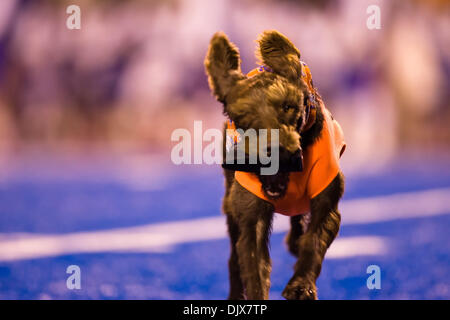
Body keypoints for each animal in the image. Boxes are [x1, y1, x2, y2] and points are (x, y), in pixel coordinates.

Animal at [206, 30, 346, 300]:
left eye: (288, 106)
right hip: (230, 205)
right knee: (233, 259)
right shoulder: (250, 218)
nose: (274, 149)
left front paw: (301, 285)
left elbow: (314, 240)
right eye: (242, 116)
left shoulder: (327, 201)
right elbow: (253, 267)